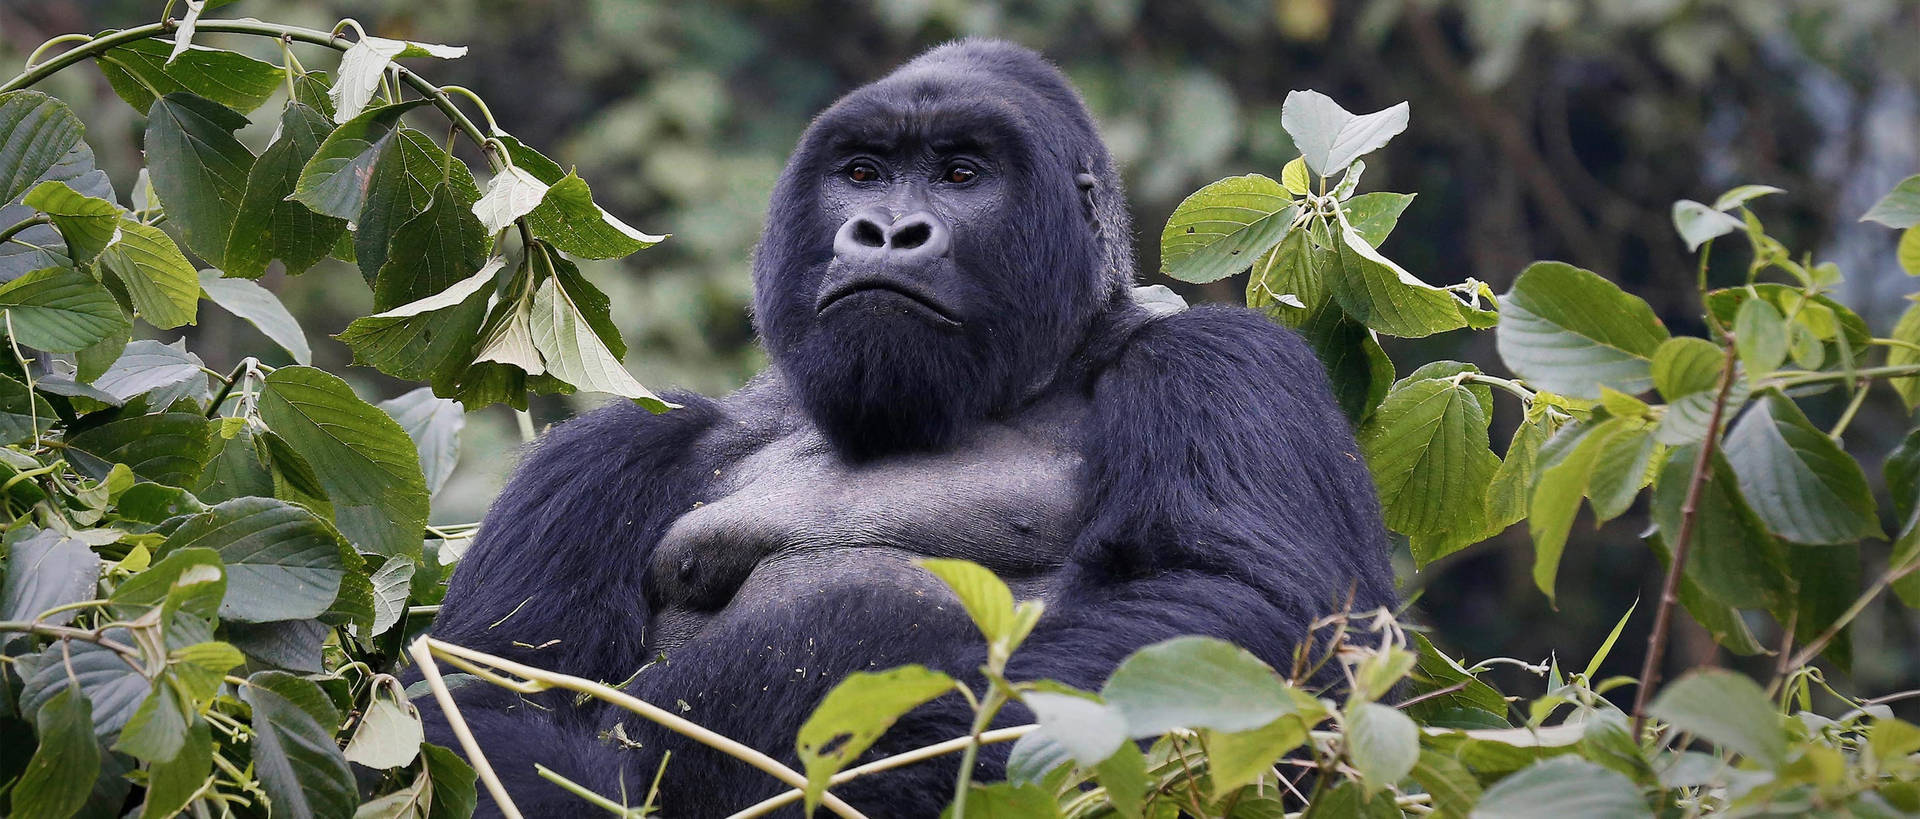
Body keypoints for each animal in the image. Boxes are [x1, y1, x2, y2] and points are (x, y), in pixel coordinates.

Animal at [424, 40, 1397, 819]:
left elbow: (1242, 617)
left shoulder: (1227, 365)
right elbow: (490, 688)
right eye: (862, 173)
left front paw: (739, 765)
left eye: (962, 174)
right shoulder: (611, 452)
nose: (887, 230)